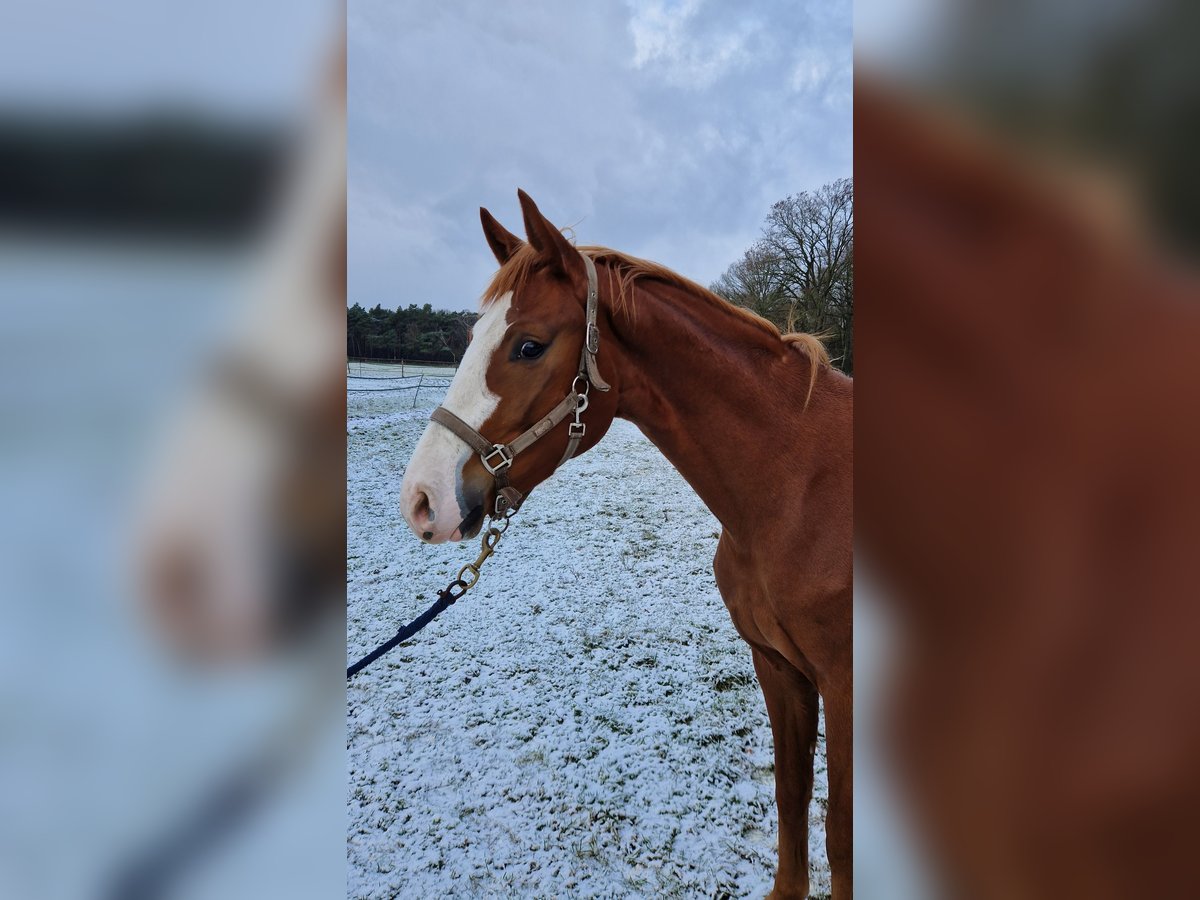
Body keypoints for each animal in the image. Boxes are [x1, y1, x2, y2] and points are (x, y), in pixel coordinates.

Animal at [399, 189, 853, 899]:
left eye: (529, 346)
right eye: (472, 339)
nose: (422, 498)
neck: (799, 488)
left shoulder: (847, 688)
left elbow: (840, 838)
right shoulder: (777, 668)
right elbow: (792, 794)